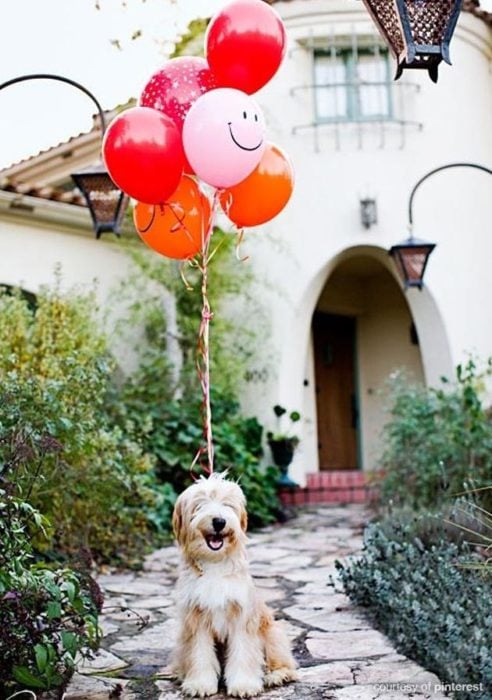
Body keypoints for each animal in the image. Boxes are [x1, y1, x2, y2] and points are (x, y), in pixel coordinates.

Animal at [171, 470, 298, 696]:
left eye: (227, 504)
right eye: (200, 504)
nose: (219, 521)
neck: (214, 564)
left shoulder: (242, 617)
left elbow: (243, 652)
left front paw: (243, 684)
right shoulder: (196, 619)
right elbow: (199, 652)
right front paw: (200, 684)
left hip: (272, 634)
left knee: (284, 662)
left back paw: (277, 675)